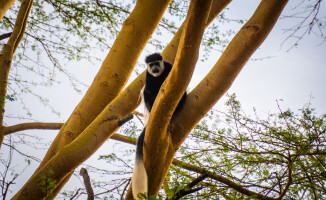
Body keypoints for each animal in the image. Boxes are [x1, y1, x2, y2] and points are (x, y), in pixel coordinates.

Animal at [132, 52, 187, 198]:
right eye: (151, 65)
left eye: (157, 62)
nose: (155, 68)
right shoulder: (148, 75)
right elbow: (148, 91)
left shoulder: (169, 67)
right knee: (148, 93)